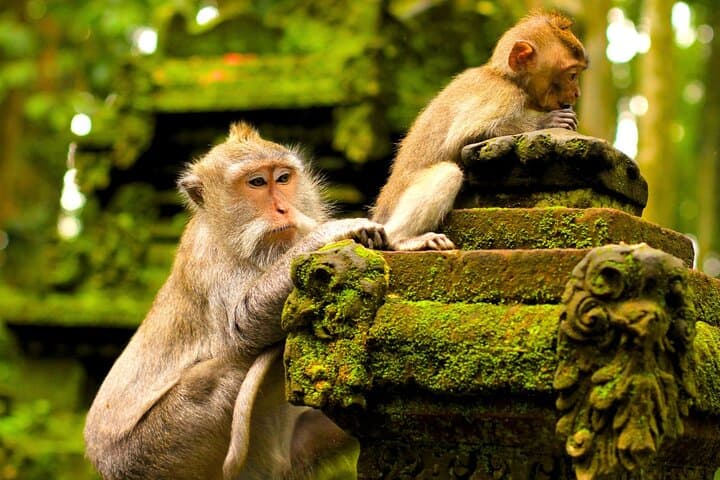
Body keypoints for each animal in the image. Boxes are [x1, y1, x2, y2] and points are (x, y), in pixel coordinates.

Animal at [84, 122, 386, 480]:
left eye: (283, 178)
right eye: (256, 183)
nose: (283, 209)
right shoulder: (210, 261)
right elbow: (241, 327)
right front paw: (330, 233)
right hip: (151, 451)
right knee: (220, 372)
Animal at [372, 11, 588, 251]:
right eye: (572, 75)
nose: (577, 93)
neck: (504, 76)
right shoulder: (503, 95)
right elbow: (463, 136)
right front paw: (547, 121)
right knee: (448, 173)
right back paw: (401, 239)